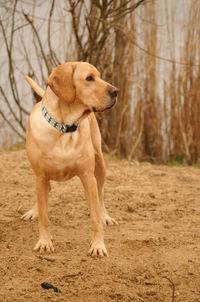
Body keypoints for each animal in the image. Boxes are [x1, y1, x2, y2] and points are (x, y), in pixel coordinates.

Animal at [22, 61, 118, 258]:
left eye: (99, 76)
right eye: (89, 78)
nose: (116, 91)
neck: (64, 127)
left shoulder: (88, 177)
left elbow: (95, 218)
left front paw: (98, 245)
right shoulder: (40, 176)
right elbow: (44, 216)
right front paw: (44, 242)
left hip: (100, 165)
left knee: (101, 196)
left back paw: (105, 216)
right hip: (38, 177)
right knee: (43, 195)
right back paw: (34, 211)